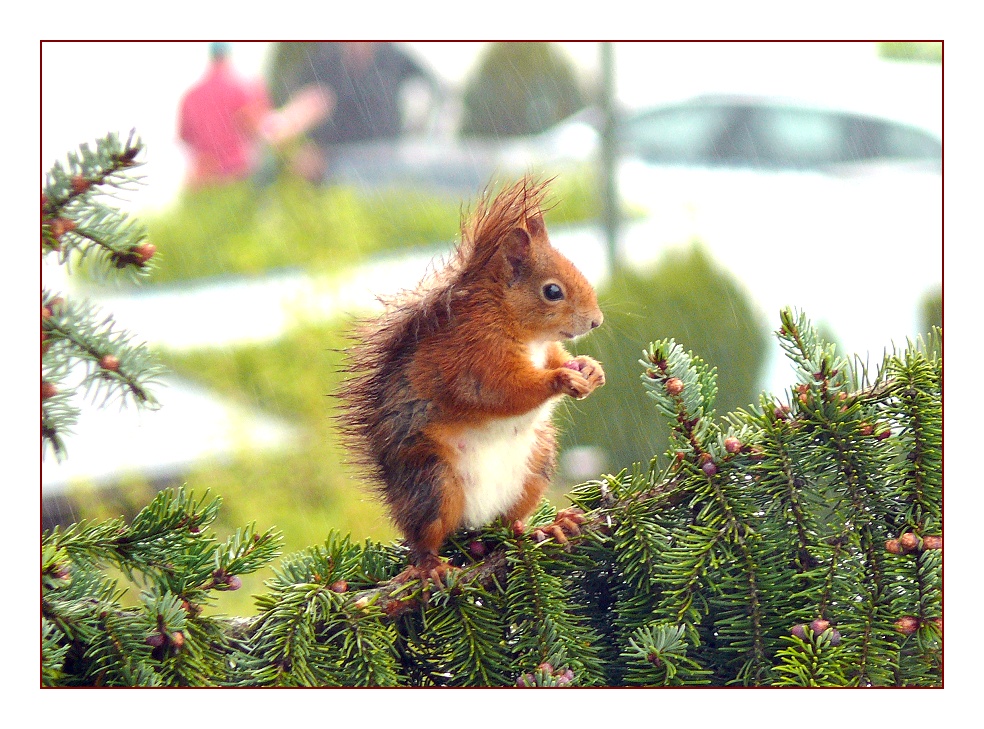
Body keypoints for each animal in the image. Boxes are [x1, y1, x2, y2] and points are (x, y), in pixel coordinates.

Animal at [346, 176, 608, 580]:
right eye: (552, 291)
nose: (596, 321)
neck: (509, 317)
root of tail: (475, 520)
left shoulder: (543, 350)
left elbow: (556, 357)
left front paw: (589, 369)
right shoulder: (475, 359)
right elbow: (503, 391)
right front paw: (560, 380)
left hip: (536, 465)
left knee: (510, 524)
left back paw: (547, 527)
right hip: (434, 482)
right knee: (424, 537)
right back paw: (430, 568)